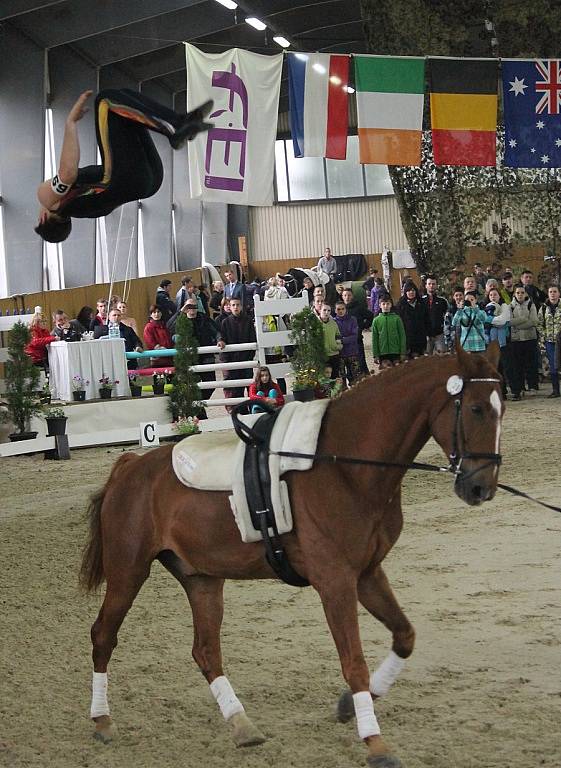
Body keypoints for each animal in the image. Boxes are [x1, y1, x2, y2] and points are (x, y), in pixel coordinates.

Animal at [80, 344, 504, 764]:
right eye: (475, 408)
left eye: (500, 409)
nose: (481, 487)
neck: (345, 465)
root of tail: (130, 467)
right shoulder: (335, 581)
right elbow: (354, 662)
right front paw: (375, 742)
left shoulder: (366, 573)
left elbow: (405, 635)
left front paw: (350, 706)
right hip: (128, 571)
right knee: (103, 635)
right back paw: (101, 720)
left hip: (201, 579)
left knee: (205, 651)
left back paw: (242, 724)